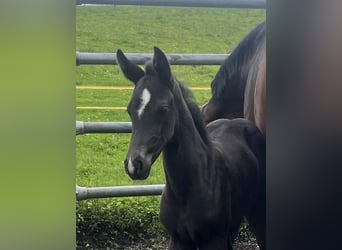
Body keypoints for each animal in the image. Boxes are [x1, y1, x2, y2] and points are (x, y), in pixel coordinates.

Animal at [117, 47, 264, 250]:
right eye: (130, 110)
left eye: (163, 108)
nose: (134, 164)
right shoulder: (178, 240)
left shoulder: (214, 240)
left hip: (256, 212)